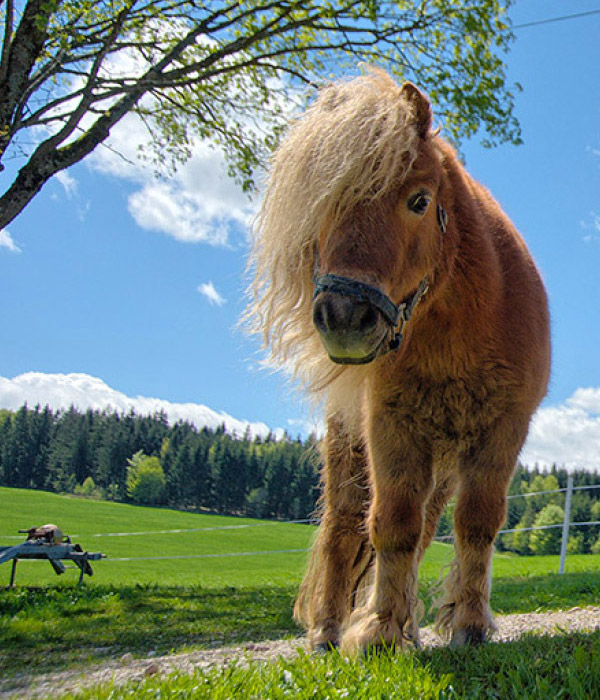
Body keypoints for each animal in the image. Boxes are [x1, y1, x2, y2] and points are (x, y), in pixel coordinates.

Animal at [246, 68, 552, 652]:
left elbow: (475, 523)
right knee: (344, 525)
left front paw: (467, 622)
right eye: (324, 206)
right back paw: (328, 631)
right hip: (351, 446)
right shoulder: (391, 427)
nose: (344, 315)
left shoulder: (502, 429)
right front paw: (381, 630)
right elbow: (391, 524)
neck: (461, 329)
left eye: (418, 200)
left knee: (427, 525)